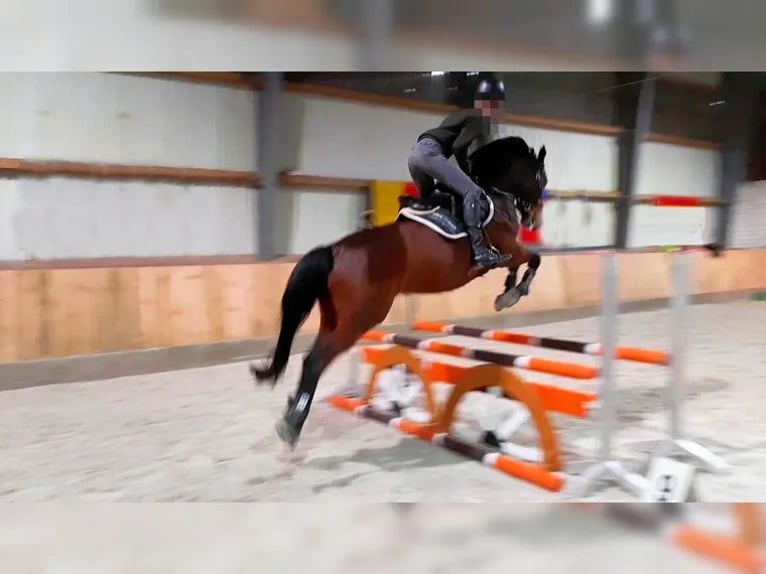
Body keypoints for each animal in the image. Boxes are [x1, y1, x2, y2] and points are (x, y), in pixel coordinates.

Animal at [252, 135, 548, 447]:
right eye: (539, 177)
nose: (534, 221)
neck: (492, 194)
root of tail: (333, 251)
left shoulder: (507, 254)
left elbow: (520, 264)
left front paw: (505, 293)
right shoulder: (507, 249)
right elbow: (533, 259)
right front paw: (513, 293)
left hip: (334, 319)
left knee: (313, 358)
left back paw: (291, 412)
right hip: (361, 318)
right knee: (315, 361)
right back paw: (292, 424)